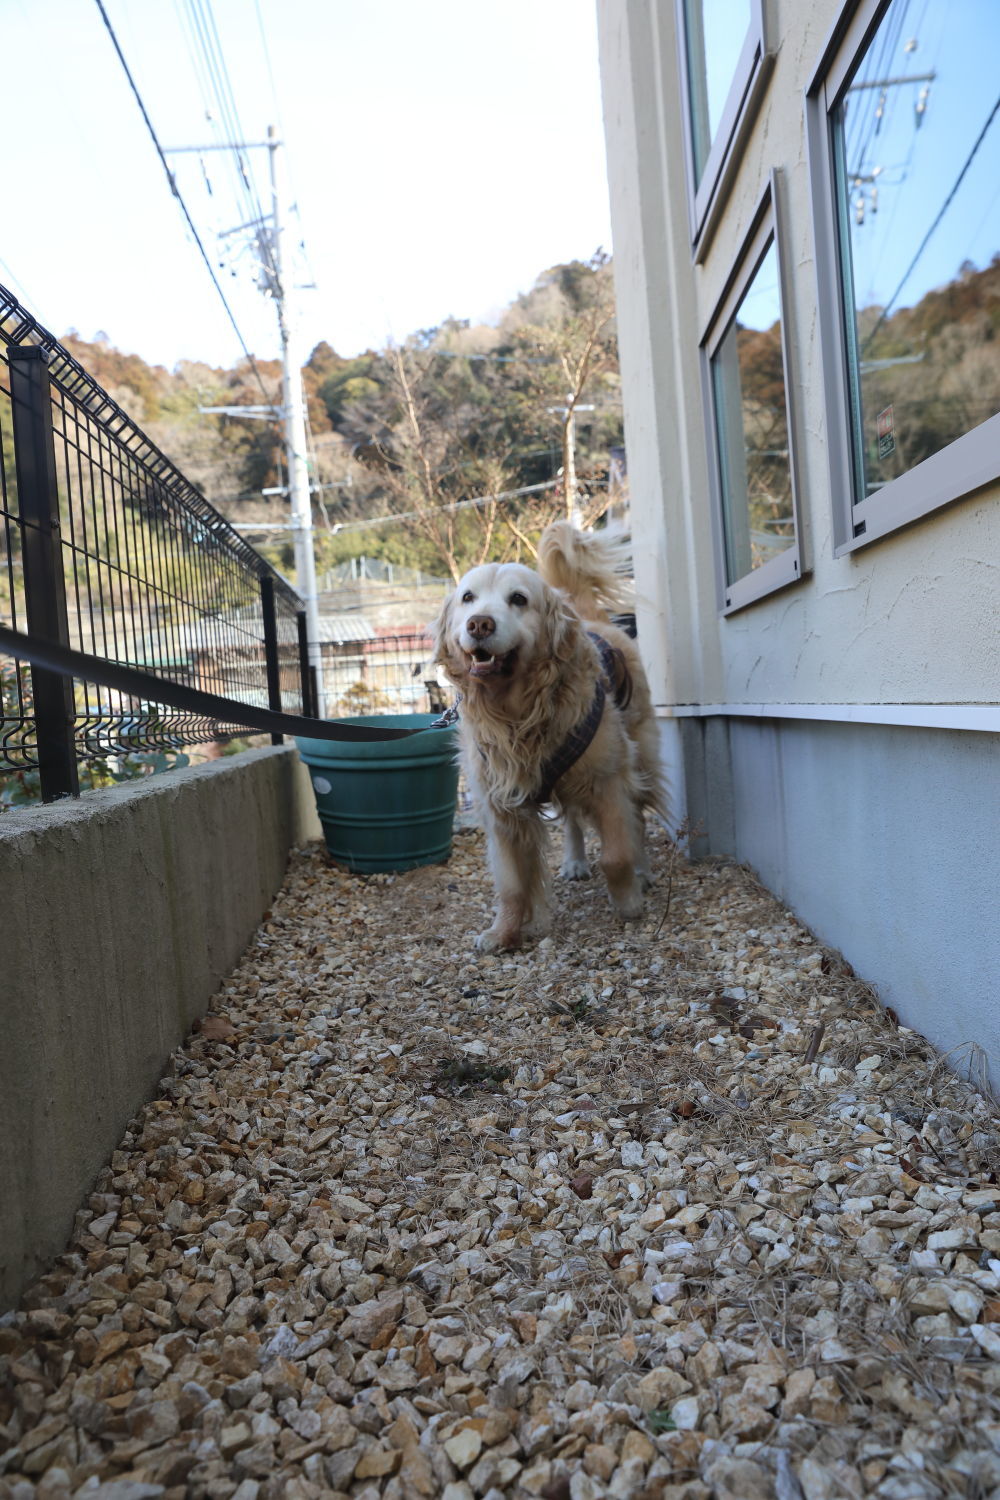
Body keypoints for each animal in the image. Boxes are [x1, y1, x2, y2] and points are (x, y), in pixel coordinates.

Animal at [431, 525, 665, 948]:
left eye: (519, 599)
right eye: (467, 597)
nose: (479, 624)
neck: (516, 713)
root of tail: (590, 616)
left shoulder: (608, 780)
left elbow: (616, 853)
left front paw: (628, 903)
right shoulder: (501, 806)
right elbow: (511, 884)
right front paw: (503, 933)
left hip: (641, 757)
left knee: (637, 817)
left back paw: (643, 872)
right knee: (571, 819)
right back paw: (574, 861)